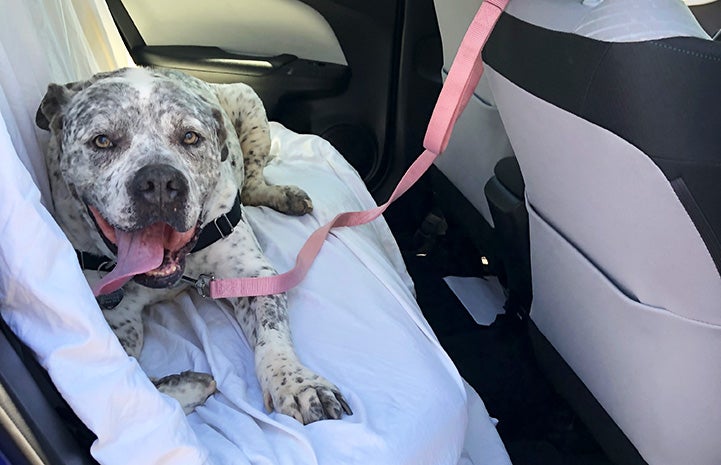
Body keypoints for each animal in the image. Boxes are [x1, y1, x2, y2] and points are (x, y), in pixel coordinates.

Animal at [36, 66, 352, 424]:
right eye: (102, 140)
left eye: (190, 137)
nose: (159, 181)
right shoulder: (115, 322)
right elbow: (130, 387)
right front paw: (187, 386)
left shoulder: (252, 275)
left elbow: (271, 332)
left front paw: (296, 383)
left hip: (249, 102)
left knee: (253, 184)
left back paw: (285, 196)